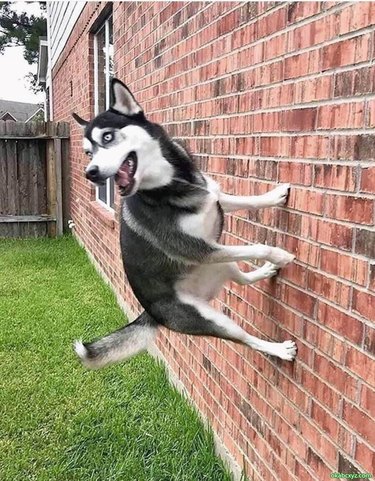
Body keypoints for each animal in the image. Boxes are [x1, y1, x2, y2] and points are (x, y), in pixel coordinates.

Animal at [72, 78, 298, 368]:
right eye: (88, 152)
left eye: (107, 137)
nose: (91, 173)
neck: (172, 184)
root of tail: (150, 313)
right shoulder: (199, 249)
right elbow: (259, 246)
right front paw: (280, 255)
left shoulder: (214, 199)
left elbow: (246, 201)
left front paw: (274, 196)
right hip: (210, 313)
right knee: (246, 338)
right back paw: (278, 349)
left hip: (221, 264)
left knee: (242, 280)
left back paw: (264, 272)